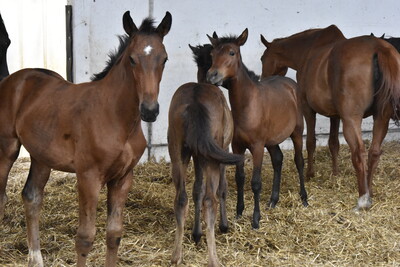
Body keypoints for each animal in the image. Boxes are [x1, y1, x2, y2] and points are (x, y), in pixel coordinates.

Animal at [0, 11, 170, 267]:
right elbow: (85, 238)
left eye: (164, 59)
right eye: (132, 59)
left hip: (42, 157)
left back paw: (36, 259)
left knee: (32, 196)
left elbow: (114, 234)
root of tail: (12, 79)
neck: (116, 117)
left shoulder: (122, 178)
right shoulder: (88, 177)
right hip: (7, 149)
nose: (150, 111)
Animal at [169, 45, 244, 266]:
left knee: (181, 199)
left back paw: (176, 255)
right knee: (210, 200)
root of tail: (195, 100)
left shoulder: (197, 155)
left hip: (178, 152)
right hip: (212, 158)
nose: (218, 78)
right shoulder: (222, 152)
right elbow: (221, 189)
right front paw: (224, 226)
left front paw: (196, 234)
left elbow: (197, 190)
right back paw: (213, 259)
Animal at [205, 29, 308, 230]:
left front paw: (255, 219)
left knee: (299, 161)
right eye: (212, 54)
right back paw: (273, 201)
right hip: (272, 141)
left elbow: (256, 182)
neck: (247, 105)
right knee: (278, 159)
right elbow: (240, 177)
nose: (212, 75)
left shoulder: (258, 147)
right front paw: (239, 212)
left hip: (297, 133)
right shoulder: (237, 146)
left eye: (232, 53)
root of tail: (291, 84)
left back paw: (304, 198)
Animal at [260, 25, 400, 210]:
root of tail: (378, 47)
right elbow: (333, 143)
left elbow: (310, 142)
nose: (263, 80)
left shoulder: (307, 109)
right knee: (374, 152)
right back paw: (369, 191)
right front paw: (335, 174)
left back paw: (363, 198)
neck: (309, 49)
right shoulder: (335, 115)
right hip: (382, 118)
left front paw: (310, 174)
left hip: (352, 120)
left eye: (262, 58)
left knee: (359, 152)